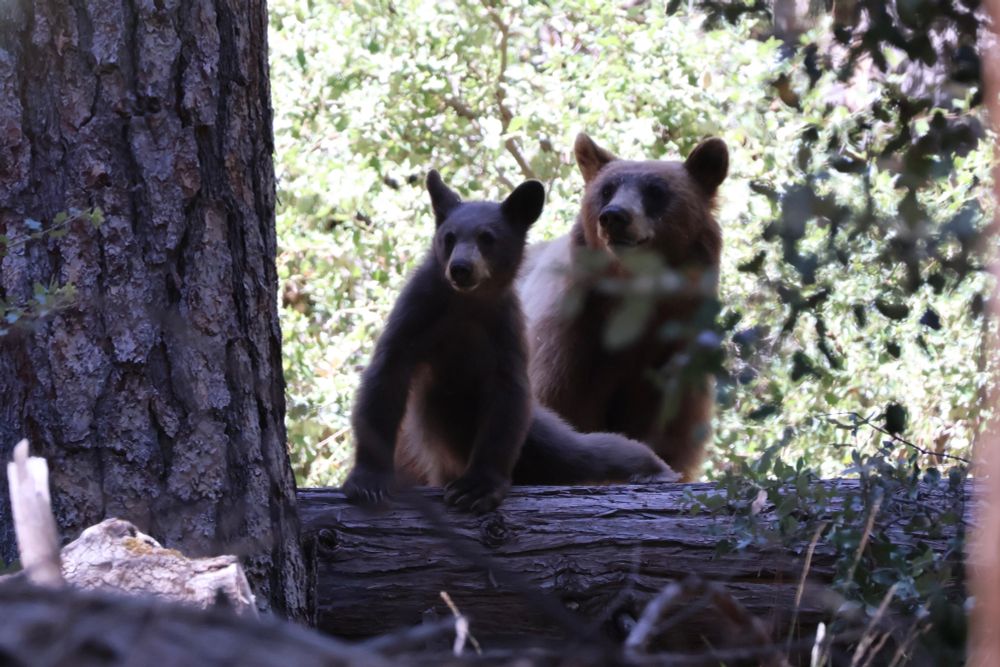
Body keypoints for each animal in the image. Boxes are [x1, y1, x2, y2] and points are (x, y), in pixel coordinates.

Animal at [344, 170, 676, 514]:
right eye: (449, 237)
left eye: (487, 237)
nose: (461, 268)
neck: (466, 305)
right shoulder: (417, 316)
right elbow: (385, 380)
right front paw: (368, 481)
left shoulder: (503, 332)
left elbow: (506, 398)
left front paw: (476, 488)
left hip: (540, 435)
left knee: (591, 451)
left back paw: (656, 471)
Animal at [517, 133, 729, 481]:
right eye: (606, 189)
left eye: (655, 191)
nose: (614, 216)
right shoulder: (567, 335)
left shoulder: (673, 353)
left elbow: (666, 432)